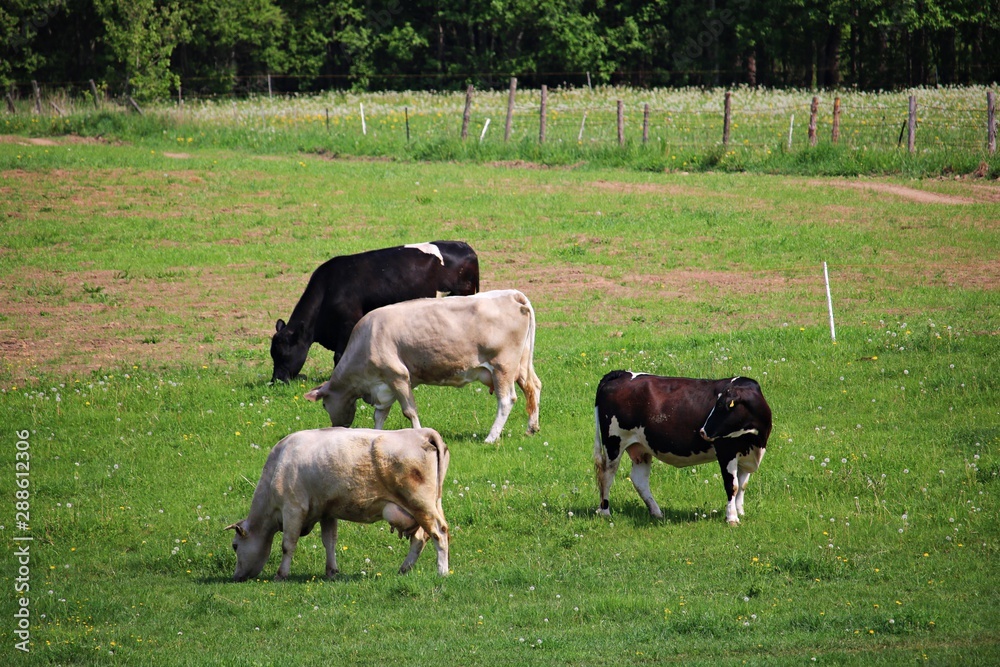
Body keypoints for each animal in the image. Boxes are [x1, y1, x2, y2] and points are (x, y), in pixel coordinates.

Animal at [225, 426, 450, 581]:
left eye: (235, 546)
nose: (237, 577)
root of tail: (422, 433)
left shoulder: (293, 509)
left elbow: (288, 544)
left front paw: (281, 574)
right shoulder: (327, 511)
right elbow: (330, 541)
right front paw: (332, 571)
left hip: (420, 504)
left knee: (439, 533)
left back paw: (442, 571)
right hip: (430, 505)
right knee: (421, 538)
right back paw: (404, 569)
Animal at [270, 241, 480, 383]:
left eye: (283, 353)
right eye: (272, 353)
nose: (276, 380)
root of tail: (465, 246)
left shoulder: (347, 324)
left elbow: (339, 355)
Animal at [304, 289, 541, 444]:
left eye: (324, 404)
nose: (337, 428)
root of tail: (512, 294)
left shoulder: (398, 376)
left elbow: (409, 411)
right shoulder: (384, 384)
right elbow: (380, 415)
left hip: (502, 367)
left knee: (506, 400)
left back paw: (491, 438)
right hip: (520, 366)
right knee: (533, 387)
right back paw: (531, 428)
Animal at [593, 371, 772, 525]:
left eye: (723, 406)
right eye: (717, 404)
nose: (703, 431)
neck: (755, 439)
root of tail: (621, 373)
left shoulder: (747, 454)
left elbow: (742, 485)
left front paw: (740, 511)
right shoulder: (726, 452)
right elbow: (732, 486)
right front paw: (732, 517)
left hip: (641, 448)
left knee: (639, 480)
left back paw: (657, 512)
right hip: (614, 442)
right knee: (607, 474)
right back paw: (605, 512)